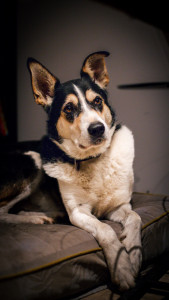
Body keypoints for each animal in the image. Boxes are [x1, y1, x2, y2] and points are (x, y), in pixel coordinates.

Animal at [0, 52, 142, 290]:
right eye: (68, 108)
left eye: (97, 101)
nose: (98, 129)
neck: (94, 160)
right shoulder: (78, 212)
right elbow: (106, 230)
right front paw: (121, 268)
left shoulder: (119, 206)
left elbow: (136, 218)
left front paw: (133, 252)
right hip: (33, 160)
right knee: (1, 212)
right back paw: (36, 219)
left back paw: (46, 215)